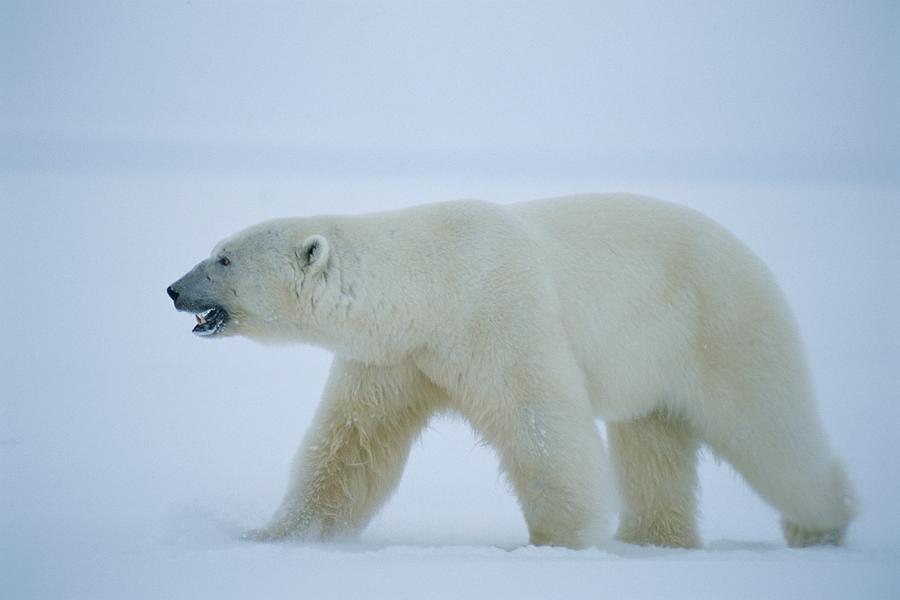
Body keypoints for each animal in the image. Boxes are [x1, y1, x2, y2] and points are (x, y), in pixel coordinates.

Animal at [167, 193, 852, 548]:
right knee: (654, 443)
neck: (433, 279)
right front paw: (277, 535)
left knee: (769, 430)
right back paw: (655, 538)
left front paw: (554, 542)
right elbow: (352, 446)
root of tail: (751, 256)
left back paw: (824, 523)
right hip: (656, 362)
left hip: (723, 325)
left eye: (223, 259)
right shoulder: (398, 356)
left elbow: (540, 425)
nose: (173, 289)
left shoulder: (499, 313)